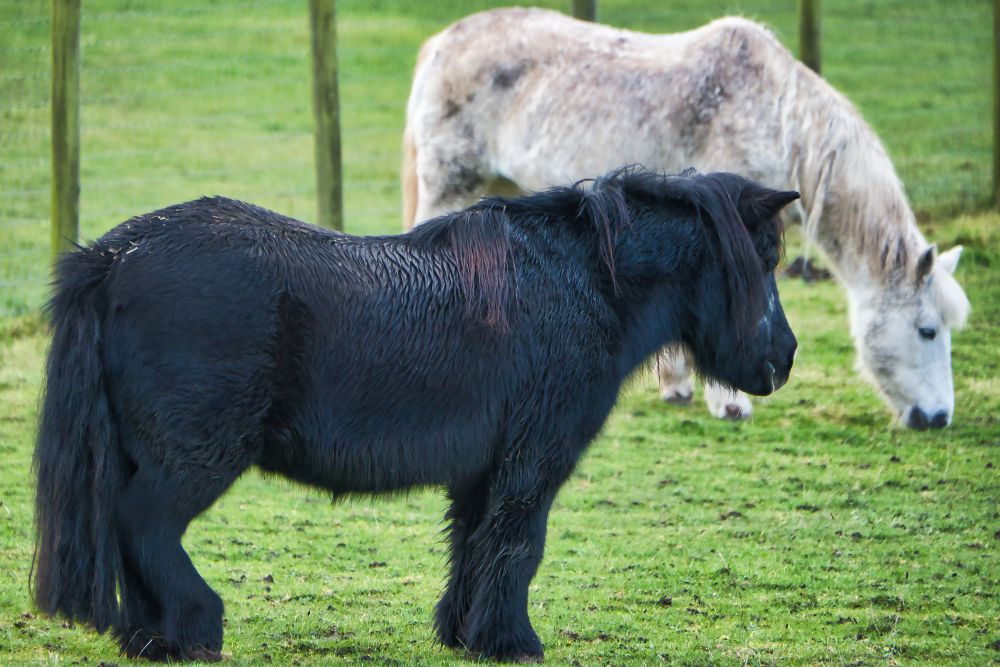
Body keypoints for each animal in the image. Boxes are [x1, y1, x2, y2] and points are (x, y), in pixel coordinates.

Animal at [33, 168, 798, 662]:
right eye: (764, 260)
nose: (784, 357)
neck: (579, 283)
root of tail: (113, 256)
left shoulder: (485, 470)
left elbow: (474, 544)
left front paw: (465, 635)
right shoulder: (532, 462)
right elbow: (518, 546)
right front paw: (512, 642)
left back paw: (153, 639)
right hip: (192, 460)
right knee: (143, 526)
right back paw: (195, 628)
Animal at [402, 7, 970, 428]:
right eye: (926, 331)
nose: (938, 417)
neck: (780, 117)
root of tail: (442, 42)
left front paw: (677, 385)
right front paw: (731, 403)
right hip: (450, 186)